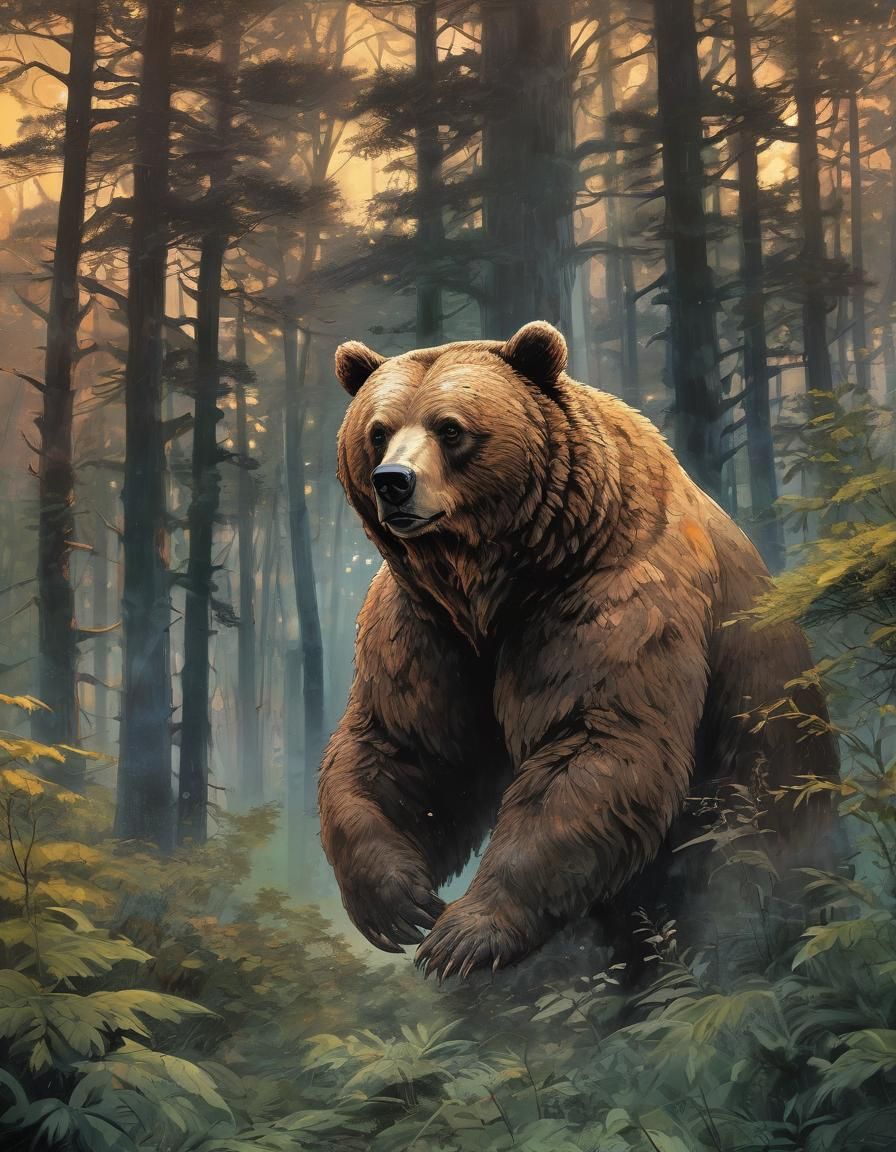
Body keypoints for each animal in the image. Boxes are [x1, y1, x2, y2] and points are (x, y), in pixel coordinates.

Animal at [318, 321, 839, 981]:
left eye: (451, 427)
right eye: (378, 431)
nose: (393, 482)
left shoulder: (614, 595)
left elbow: (594, 742)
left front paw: (462, 935)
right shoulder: (427, 622)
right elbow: (406, 744)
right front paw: (398, 901)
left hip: (750, 801)